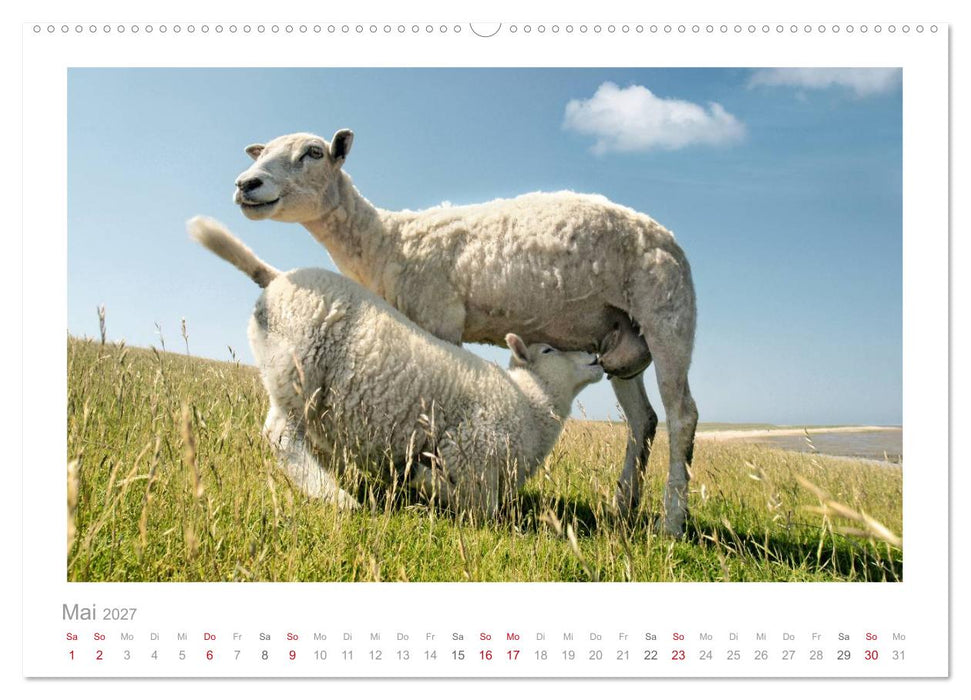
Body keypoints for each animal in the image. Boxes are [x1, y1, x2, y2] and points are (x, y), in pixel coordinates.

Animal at [188, 216, 605, 519]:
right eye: (549, 350)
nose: (596, 358)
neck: (531, 405)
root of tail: (276, 279)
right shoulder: (470, 451)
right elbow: (479, 506)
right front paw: (425, 481)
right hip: (298, 369)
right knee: (280, 436)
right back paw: (335, 497)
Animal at [232, 130, 699, 536]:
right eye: (261, 151)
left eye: (313, 153)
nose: (246, 183)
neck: (386, 241)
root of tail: (671, 239)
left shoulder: (439, 316)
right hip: (620, 338)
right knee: (643, 420)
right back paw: (623, 507)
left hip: (668, 316)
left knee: (682, 416)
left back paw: (672, 521)